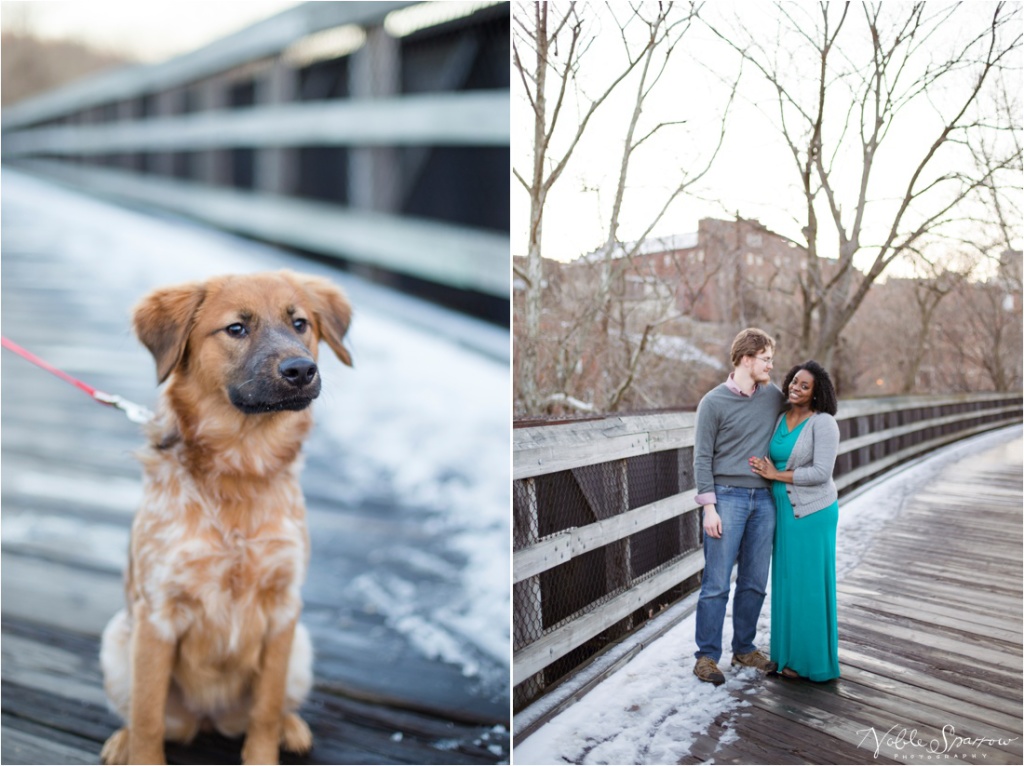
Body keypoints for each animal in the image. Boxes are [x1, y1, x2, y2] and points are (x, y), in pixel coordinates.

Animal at [99, 268, 354, 761]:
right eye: (236, 328)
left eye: (300, 324)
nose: (301, 371)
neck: (241, 468)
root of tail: (207, 717)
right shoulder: (158, 613)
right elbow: (147, 716)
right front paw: (140, 752)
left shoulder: (283, 610)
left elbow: (266, 711)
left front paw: (265, 751)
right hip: (118, 642)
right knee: (141, 713)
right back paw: (122, 741)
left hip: (301, 650)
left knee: (272, 709)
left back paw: (292, 729)